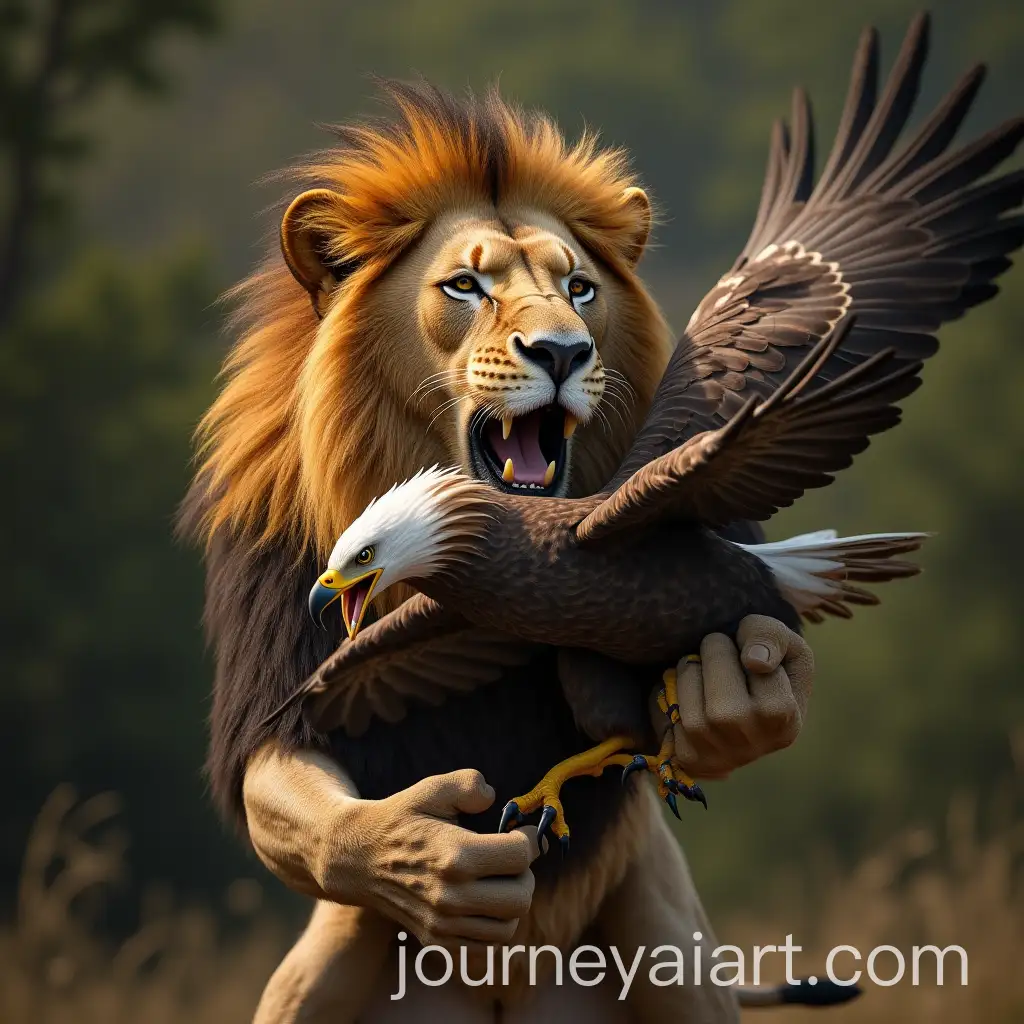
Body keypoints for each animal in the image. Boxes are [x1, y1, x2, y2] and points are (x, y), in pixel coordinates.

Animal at [183, 80, 814, 1022]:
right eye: (465, 285)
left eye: (580, 288)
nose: (561, 352)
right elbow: (286, 748)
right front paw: (426, 854)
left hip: (674, 953)